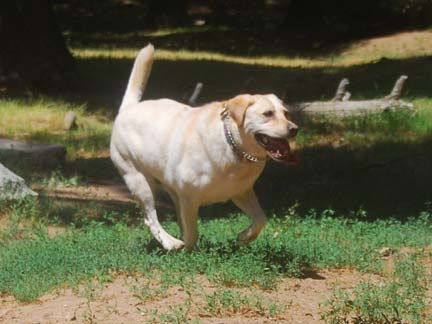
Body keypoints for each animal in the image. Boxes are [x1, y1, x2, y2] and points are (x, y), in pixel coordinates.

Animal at [109, 44, 298, 251]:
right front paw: (188, 250)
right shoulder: (189, 198)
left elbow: (261, 219)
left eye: (286, 113)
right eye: (268, 114)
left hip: (170, 189)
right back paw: (171, 243)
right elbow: (192, 233)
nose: (294, 129)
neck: (232, 145)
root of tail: (128, 108)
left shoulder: (242, 192)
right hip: (138, 180)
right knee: (150, 218)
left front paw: (244, 237)